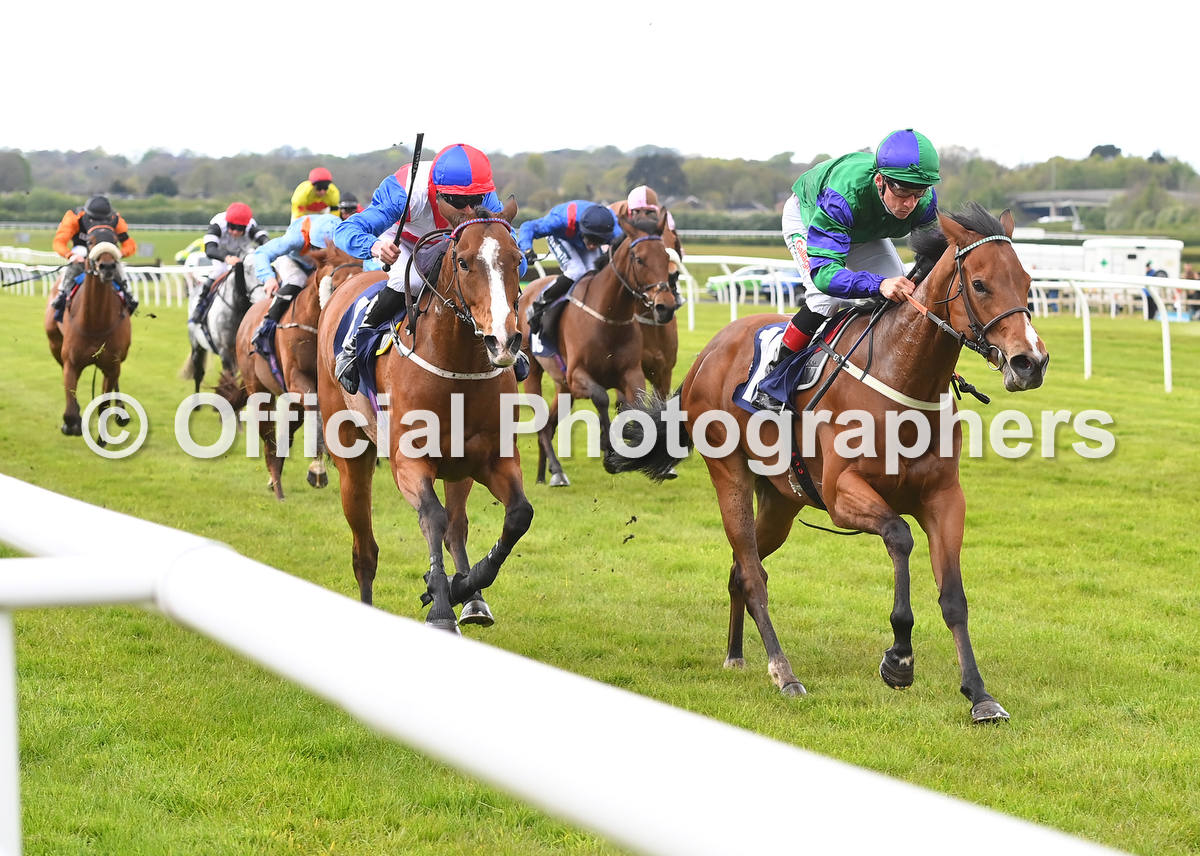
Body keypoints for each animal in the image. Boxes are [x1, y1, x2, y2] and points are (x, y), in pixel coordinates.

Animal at [43, 225, 131, 434]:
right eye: (90, 241)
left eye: (115, 239)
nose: (107, 267)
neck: (95, 323)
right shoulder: (71, 362)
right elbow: (70, 410)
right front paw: (73, 422)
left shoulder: (112, 365)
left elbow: (104, 406)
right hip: (54, 343)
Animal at [230, 243, 364, 497]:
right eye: (337, 285)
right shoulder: (297, 379)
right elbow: (316, 411)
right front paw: (317, 468)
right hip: (259, 389)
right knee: (269, 436)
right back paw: (275, 481)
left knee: (287, 433)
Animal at [319, 198, 530, 629]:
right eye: (463, 262)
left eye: (518, 259)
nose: (504, 340)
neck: (457, 366)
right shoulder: (408, 461)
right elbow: (432, 516)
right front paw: (440, 607)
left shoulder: (493, 458)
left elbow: (518, 515)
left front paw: (463, 587)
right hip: (351, 457)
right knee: (365, 550)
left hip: (459, 467)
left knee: (457, 527)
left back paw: (473, 600)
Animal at [520, 210, 681, 485]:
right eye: (639, 259)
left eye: (665, 256)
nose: (665, 306)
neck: (608, 318)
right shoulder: (577, 376)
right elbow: (601, 397)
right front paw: (608, 448)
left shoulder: (632, 373)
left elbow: (632, 406)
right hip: (535, 373)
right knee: (542, 425)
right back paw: (557, 471)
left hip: (563, 387)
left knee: (550, 425)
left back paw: (545, 473)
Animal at [604, 206, 1046, 720]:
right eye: (979, 284)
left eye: (1027, 281)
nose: (1031, 362)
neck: (903, 376)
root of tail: (706, 354)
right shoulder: (842, 494)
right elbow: (899, 535)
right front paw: (899, 658)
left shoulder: (944, 498)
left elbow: (954, 597)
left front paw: (979, 695)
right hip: (730, 474)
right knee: (753, 575)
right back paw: (784, 672)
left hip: (781, 500)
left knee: (740, 567)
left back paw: (735, 654)